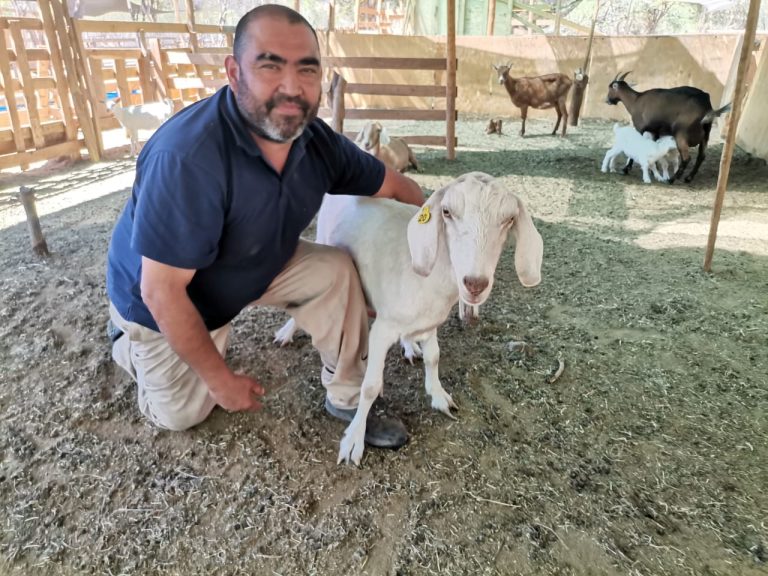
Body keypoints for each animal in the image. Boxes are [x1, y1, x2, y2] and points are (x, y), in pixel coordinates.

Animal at [278, 173, 543, 465]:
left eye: (509, 219)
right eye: (447, 212)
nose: (475, 284)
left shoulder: (431, 321)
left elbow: (434, 357)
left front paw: (438, 395)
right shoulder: (382, 328)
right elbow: (369, 386)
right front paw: (354, 439)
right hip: (324, 240)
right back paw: (288, 331)